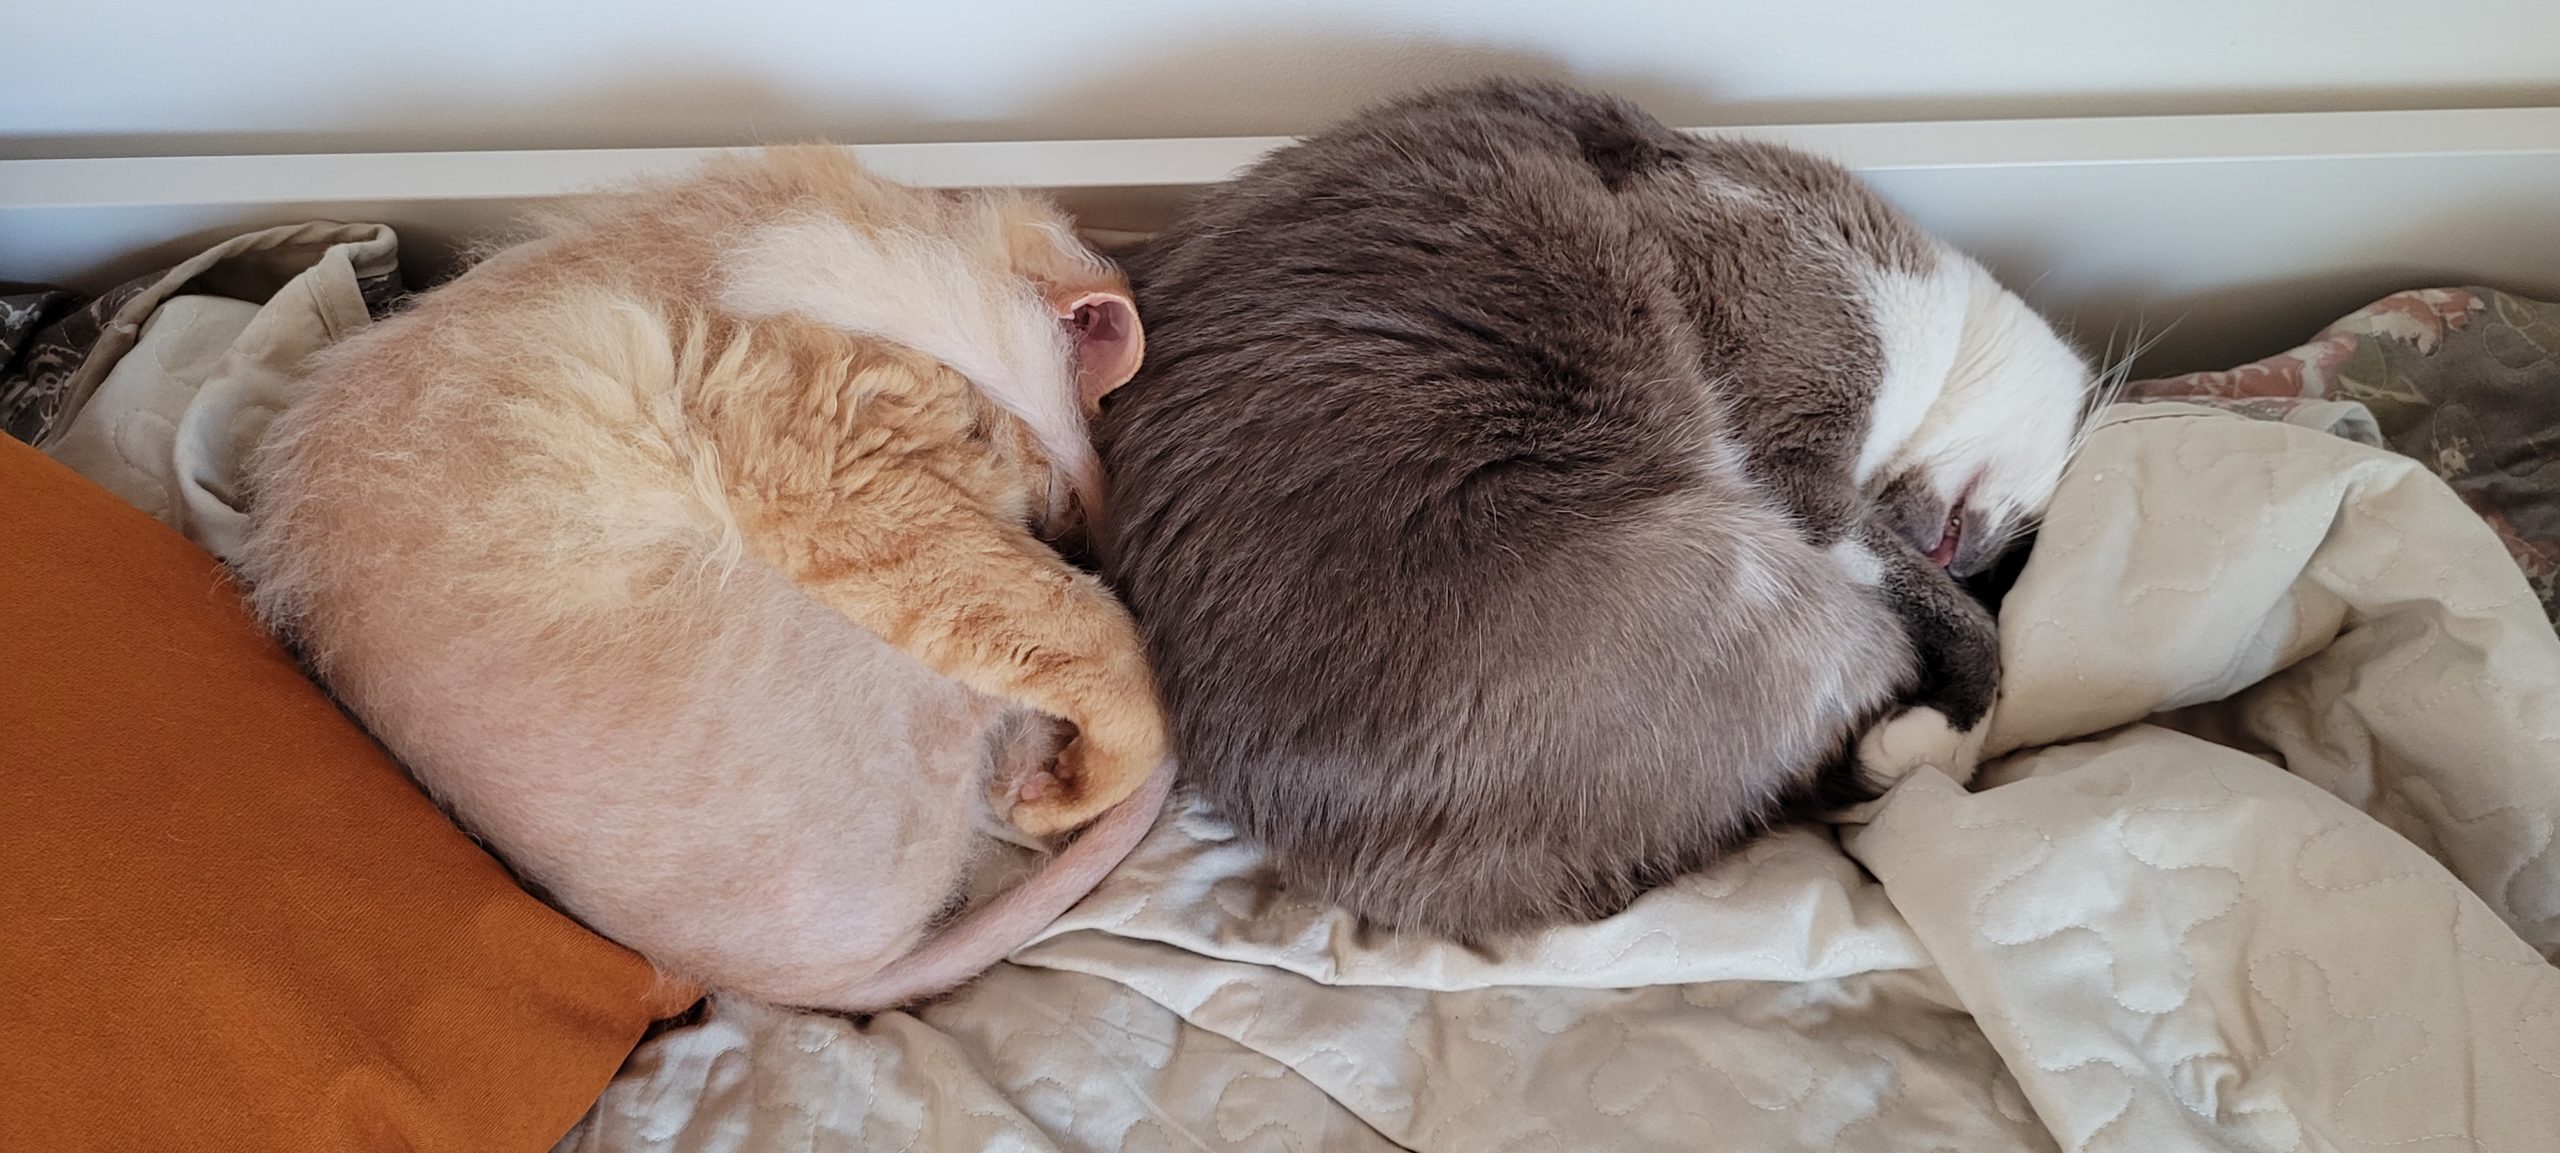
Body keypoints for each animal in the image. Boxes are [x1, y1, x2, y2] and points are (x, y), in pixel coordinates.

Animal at [235, 144, 1172, 1009]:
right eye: (1057, 502)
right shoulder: (830, 469)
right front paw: (1082, 779)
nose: (1075, 529)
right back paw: (1047, 792)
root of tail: (799, 986)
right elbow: (1105, 644)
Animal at [1100, 83, 2099, 948]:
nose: (1965, 560)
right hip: (1757, 573)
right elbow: (1961, 630)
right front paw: (1937, 737)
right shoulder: (1799, 470)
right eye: (2006, 566)